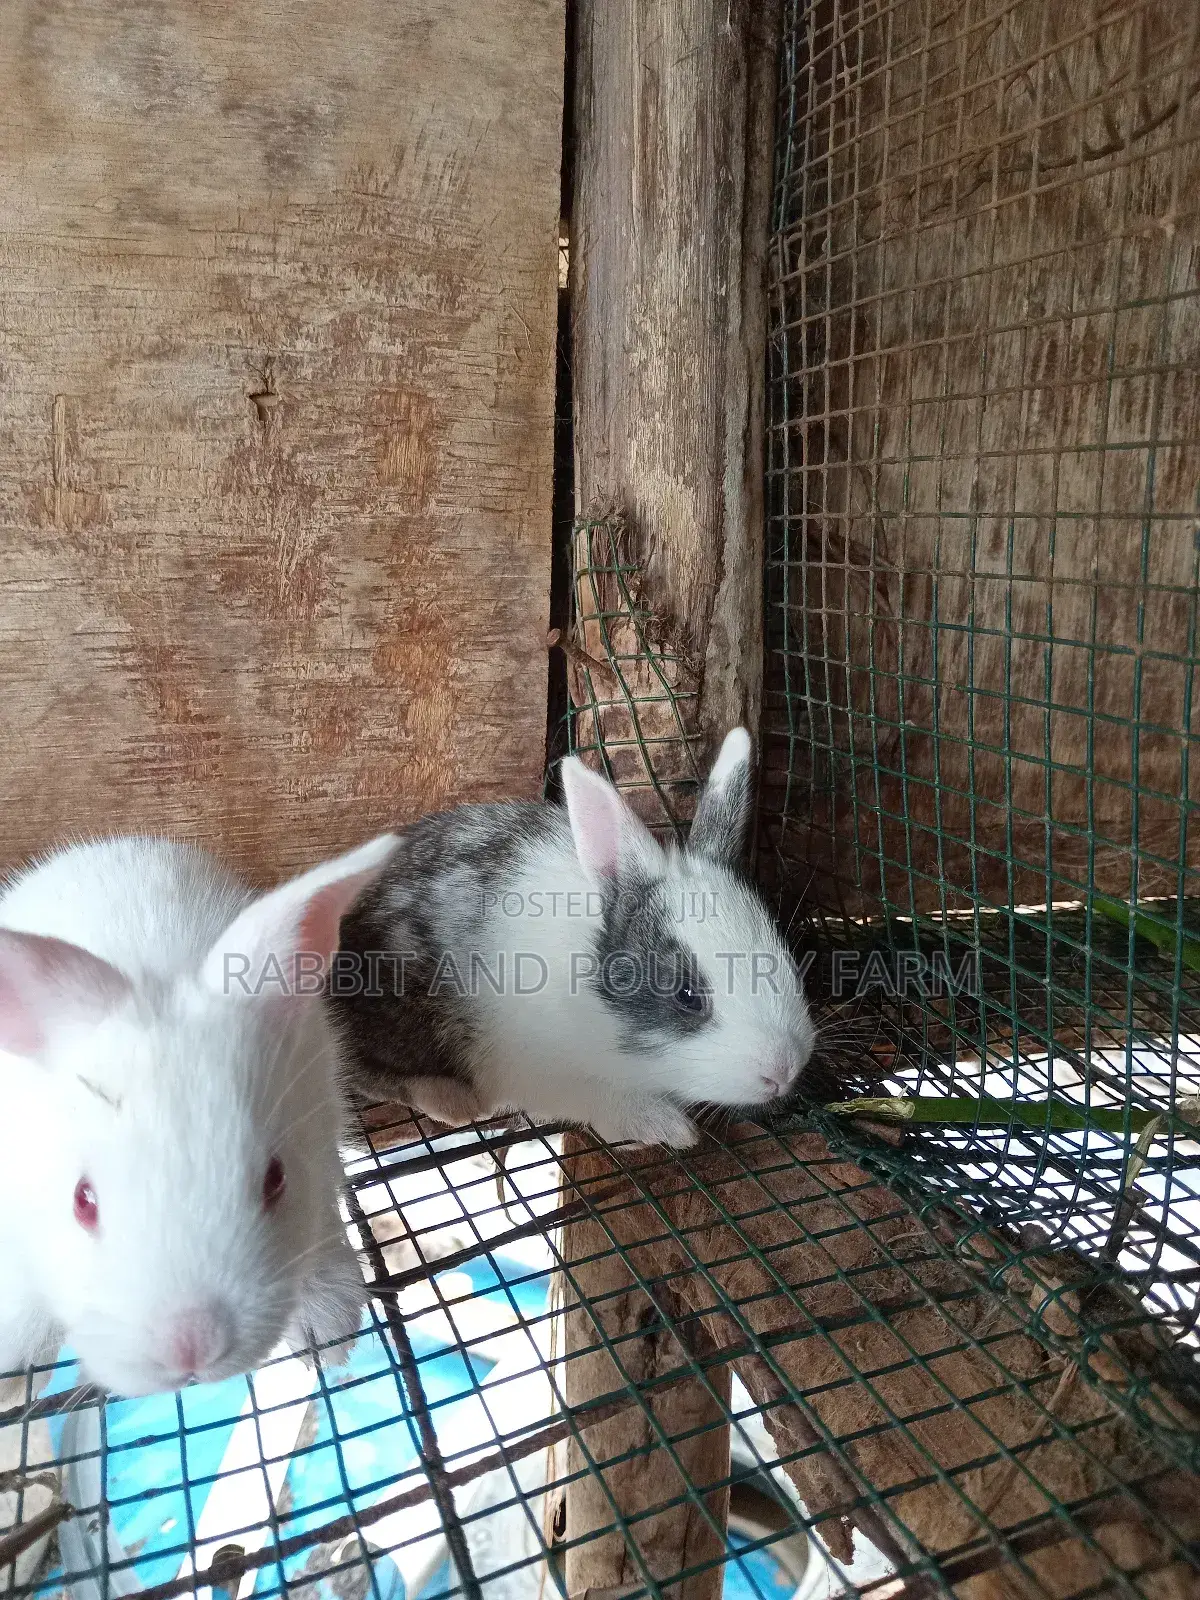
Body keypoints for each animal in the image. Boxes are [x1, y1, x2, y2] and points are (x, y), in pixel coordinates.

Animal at [330, 729, 815, 1148]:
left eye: (788, 959)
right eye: (688, 996)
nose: (784, 1071)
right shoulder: (544, 1072)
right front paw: (664, 1128)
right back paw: (454, 1102)